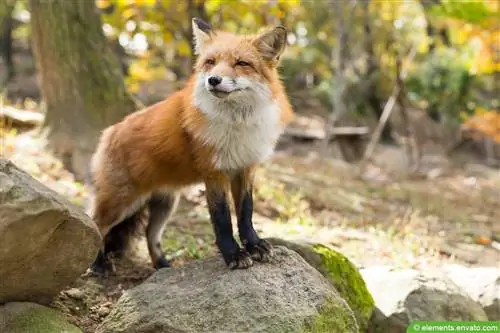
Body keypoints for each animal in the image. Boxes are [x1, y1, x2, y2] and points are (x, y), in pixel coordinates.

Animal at [88, 16, 294, 274]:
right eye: (210, 62)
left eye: (241, 63)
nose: (213, 80)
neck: (237, 124)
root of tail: (108, 132)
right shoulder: (214, 172)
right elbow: (222, 218)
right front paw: (233, 254)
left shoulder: (245, 167)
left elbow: (246, 212)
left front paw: (255, 245)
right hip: (121, 201)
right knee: (95, 224)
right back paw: (98, 264)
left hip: (165, 204)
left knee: (150, 234)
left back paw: (163, 266)